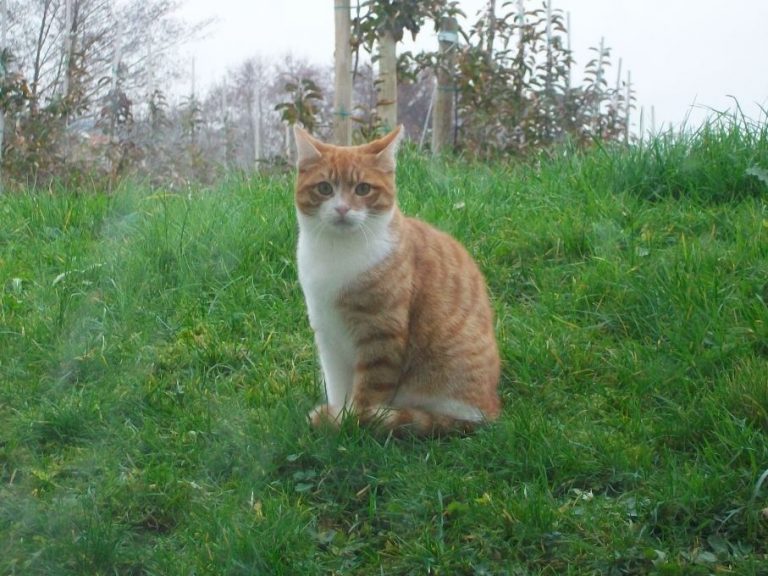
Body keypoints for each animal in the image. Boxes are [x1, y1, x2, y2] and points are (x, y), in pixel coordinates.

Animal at [292, 124, 498, 434]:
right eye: (324, 188)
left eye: (363, 189)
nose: (342, 209)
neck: (337, 251)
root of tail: (492, 411)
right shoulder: (327, 334)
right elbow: (338, 385)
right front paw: (339, 417)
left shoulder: (381, 333)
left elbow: (367, 395)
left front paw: (351, 423)